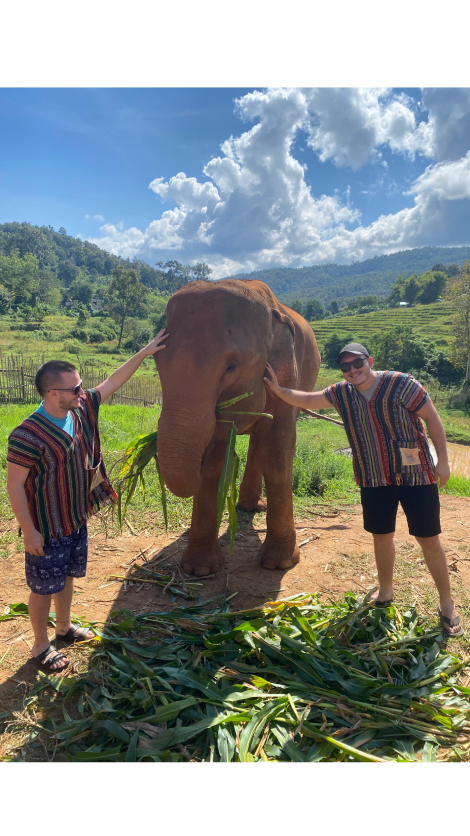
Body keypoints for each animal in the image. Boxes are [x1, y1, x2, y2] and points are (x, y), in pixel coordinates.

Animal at [156, 280, 322, 576]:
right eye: (156, 361)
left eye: (231, 367)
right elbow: (216, 461)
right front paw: (199, 570)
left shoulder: (286, 378)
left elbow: (277, 450)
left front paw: (279, 564)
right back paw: (248, 506)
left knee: (263, 443)